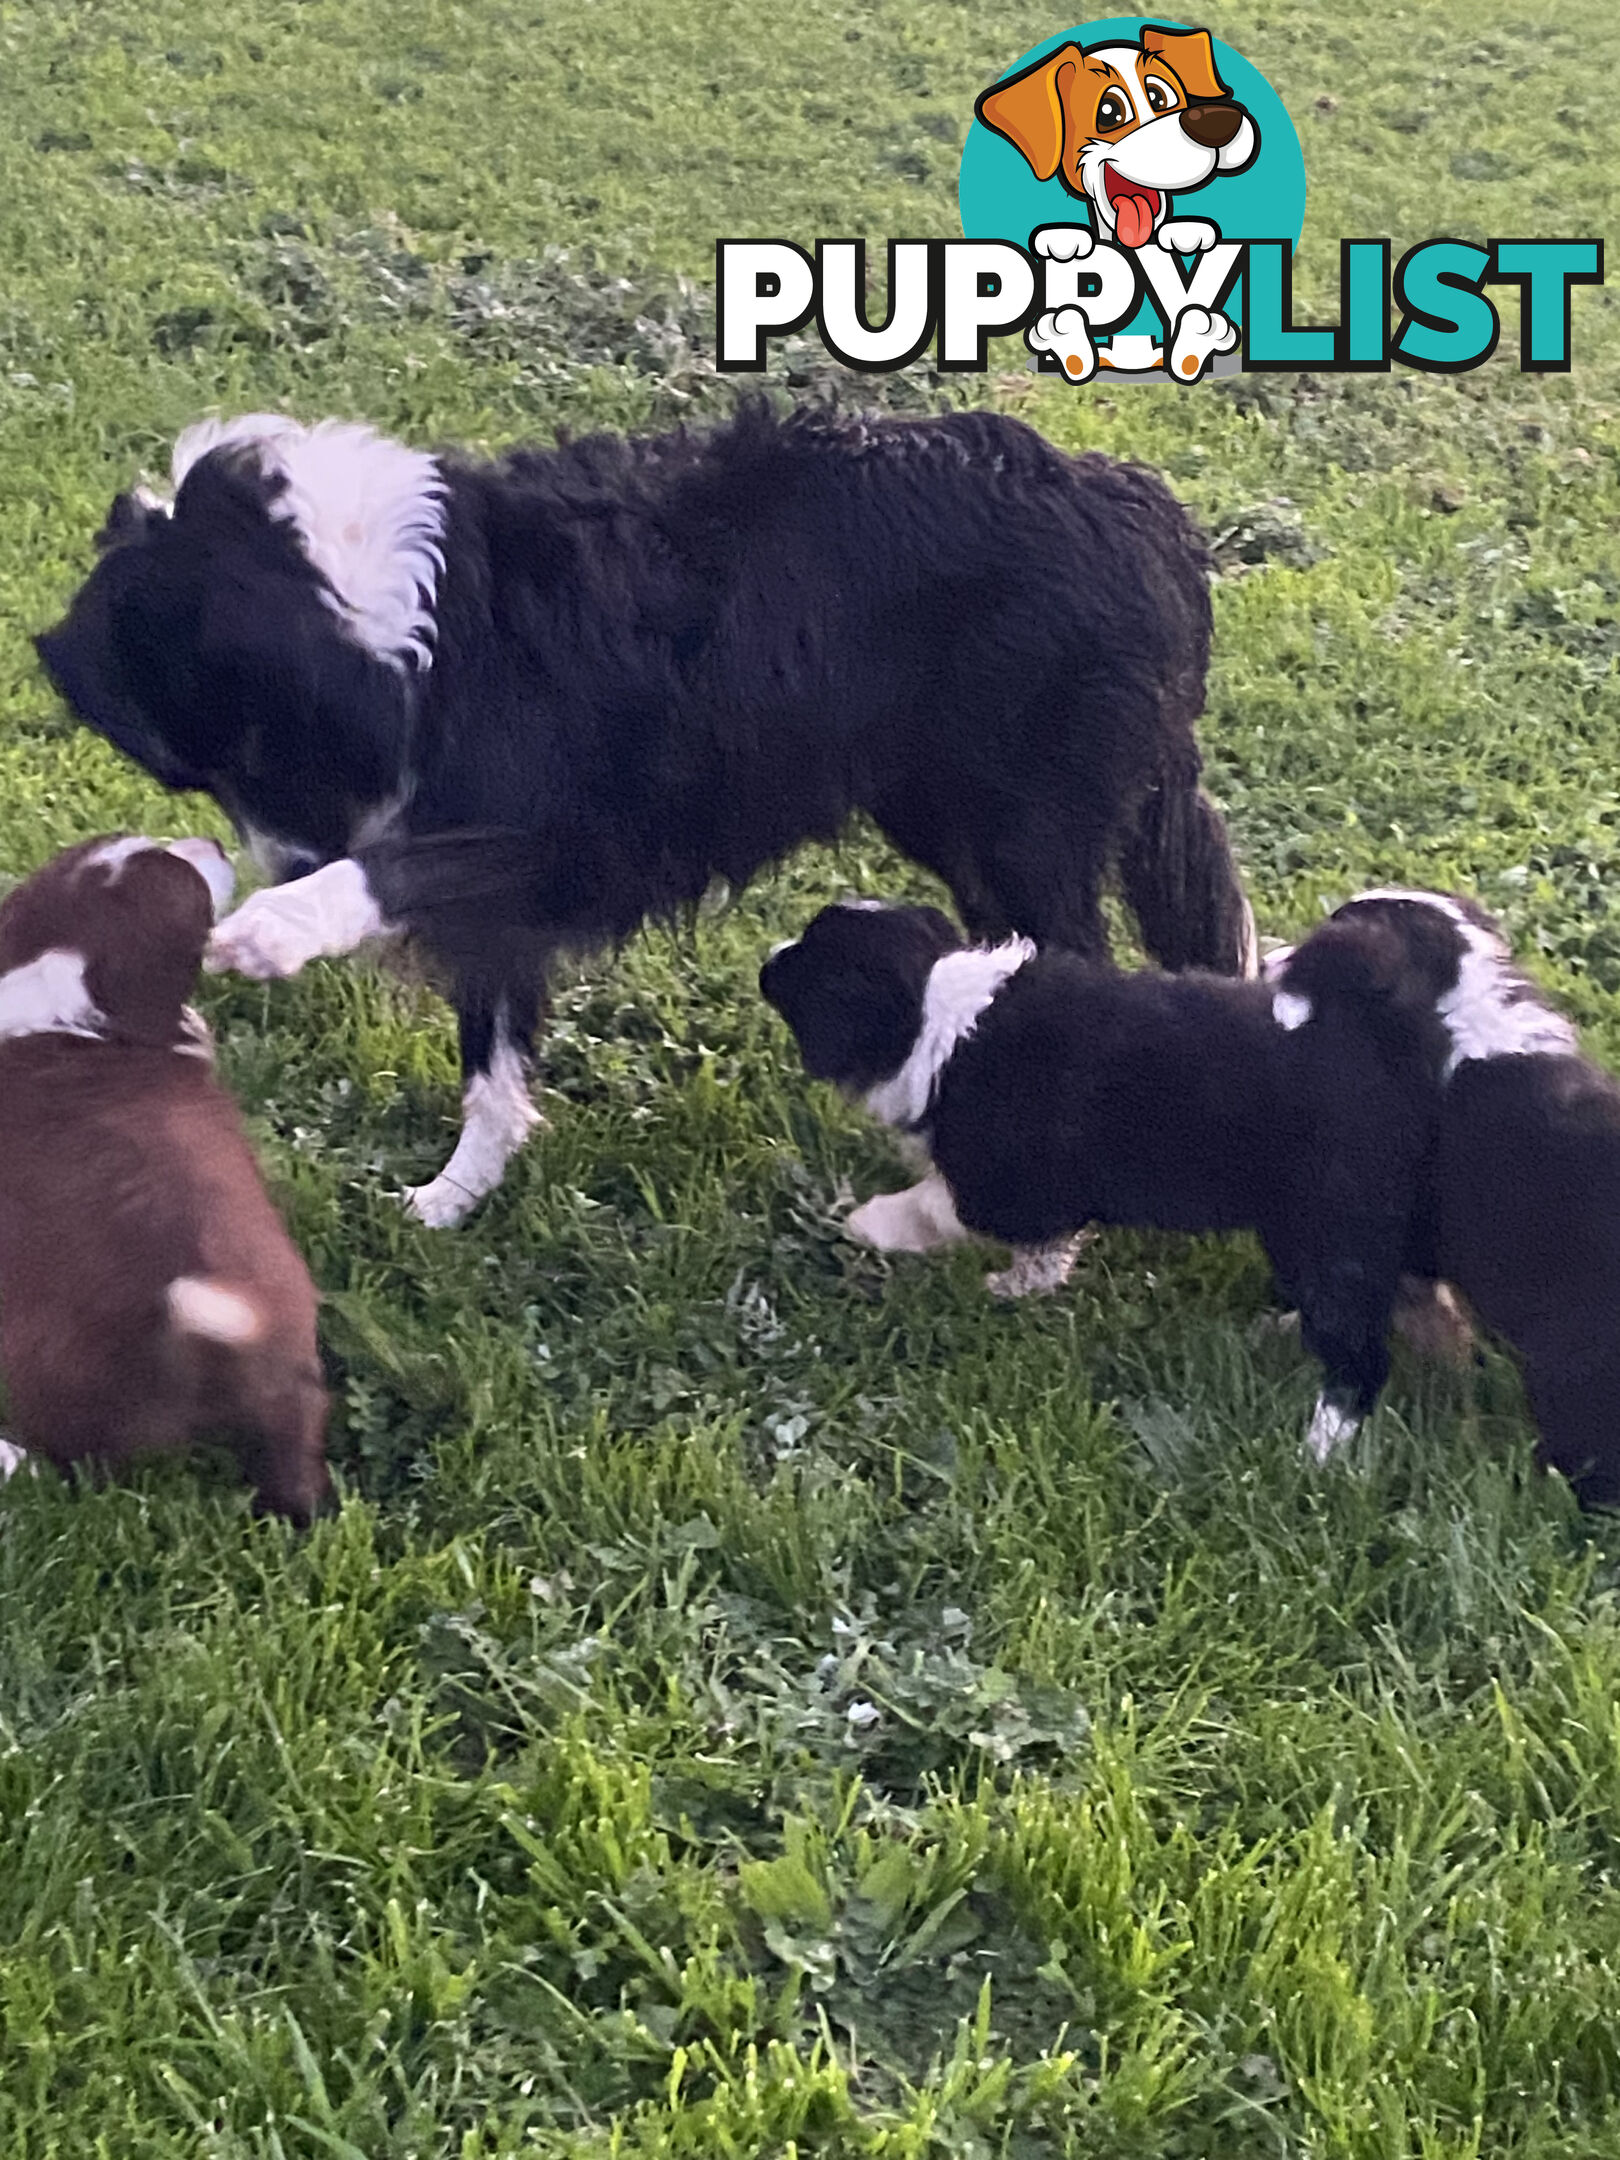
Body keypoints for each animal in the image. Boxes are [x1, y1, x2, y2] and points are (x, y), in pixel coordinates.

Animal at [34, 397, 1252, 1226]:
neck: (400, 615)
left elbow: (400, 872)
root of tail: (1140, 511)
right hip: (953, 820)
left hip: (1025, 828)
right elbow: (490, 1055)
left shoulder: (568, 838)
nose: (278, 867)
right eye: (208, 772)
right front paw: (452, 1199)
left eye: (246, 753)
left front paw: (277, 931)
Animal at [760, 885, 1434, 1460]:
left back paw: (1319, 1450)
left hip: (1327, 1227)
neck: (933, 1011)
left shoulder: (1004, 1182)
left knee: (1357, 1351)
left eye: (811, 969)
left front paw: (874, 1226)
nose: (767, 961)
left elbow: (939, 1206)